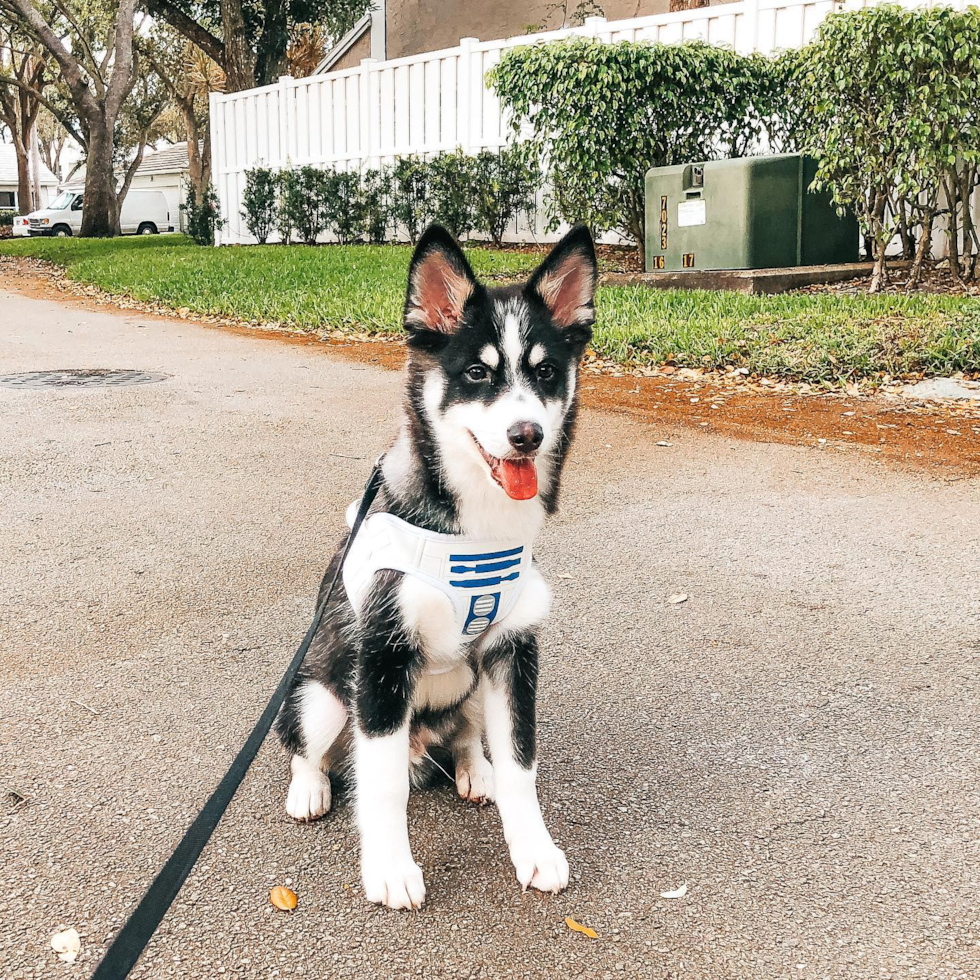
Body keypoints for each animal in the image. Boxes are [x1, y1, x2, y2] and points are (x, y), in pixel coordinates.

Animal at [276, 224, 596, 912]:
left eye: (546, 372)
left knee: (468, 735)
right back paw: (310, 786)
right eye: (477, 372)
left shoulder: (512, 651)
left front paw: (533, 849)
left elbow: (523, 762)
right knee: (314, 746)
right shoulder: (384, 657)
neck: (473, 531)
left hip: (470, 687)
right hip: (324, 695)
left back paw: (477, 769)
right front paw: (390, 868)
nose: (527, 434)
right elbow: (382, 784)